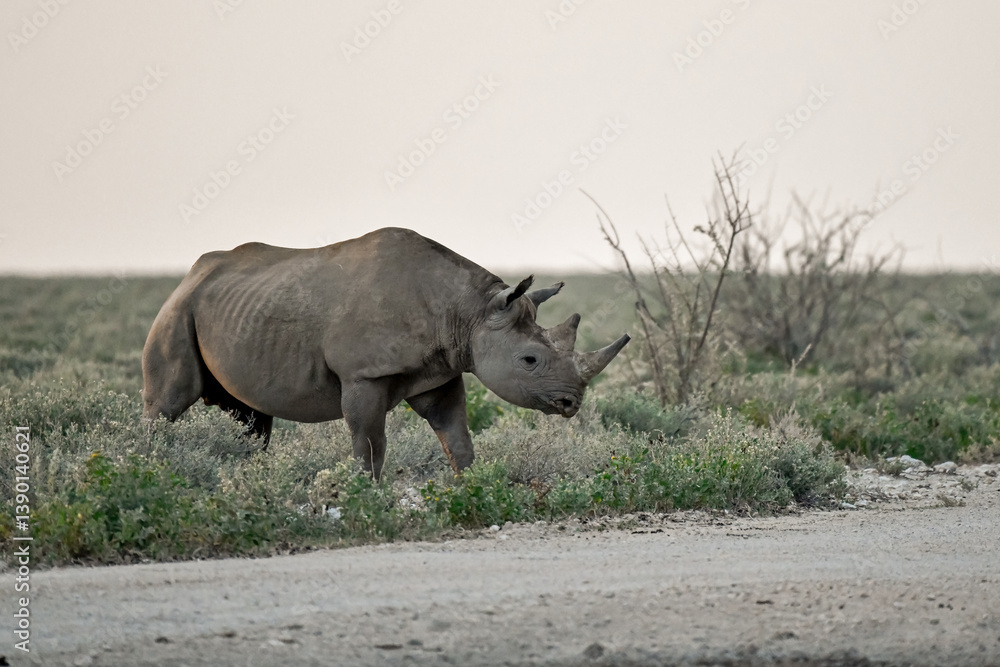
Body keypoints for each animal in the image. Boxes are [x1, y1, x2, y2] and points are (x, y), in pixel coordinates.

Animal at [142, 227, 629, 478]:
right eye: (530, 360)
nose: (571, 402)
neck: (469, 313)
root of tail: (189, 275)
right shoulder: (363, 375)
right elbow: (369, 442)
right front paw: (366, 494)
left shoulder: (442, 370)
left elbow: (457, 435)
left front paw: (473, 485)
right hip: (178, 310)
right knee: (168, 402)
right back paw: (148, 466)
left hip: (231, 309)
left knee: (249, 417)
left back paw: (250, 479)